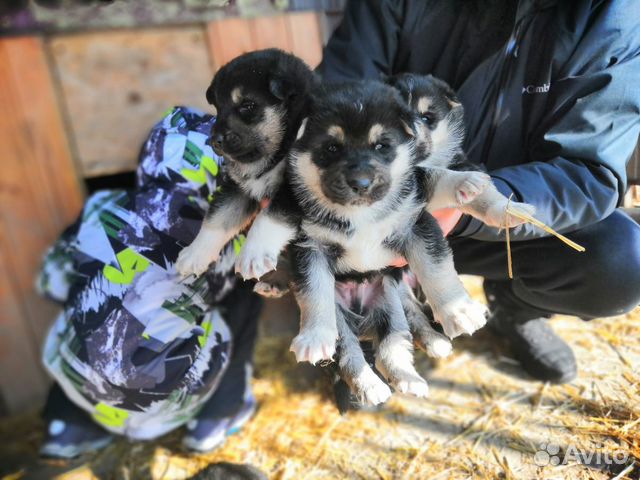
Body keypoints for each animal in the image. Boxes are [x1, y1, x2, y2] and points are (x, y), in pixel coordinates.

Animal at [175, 48, 316, 278]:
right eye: (218, 107)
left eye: (247, 106)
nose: (215, 141)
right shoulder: (238, 189)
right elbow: (217, 218)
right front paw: (194, 254)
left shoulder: (297, 188)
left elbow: (267, 218)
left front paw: (253, 255)